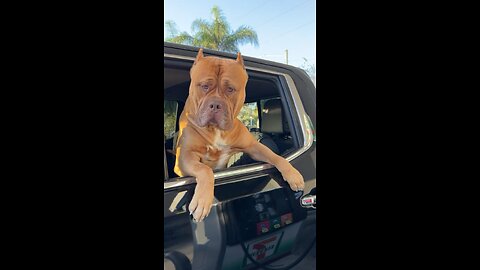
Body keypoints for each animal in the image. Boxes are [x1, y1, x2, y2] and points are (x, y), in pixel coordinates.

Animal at [175, 48, 304, 221]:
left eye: (230, 89)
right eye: (204, 86)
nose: (215, 104)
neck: (216, 130)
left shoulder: (255, 147)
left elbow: (276, 157)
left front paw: (293, 174)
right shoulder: (185, 157)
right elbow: (204, 169)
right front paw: (202, 201)